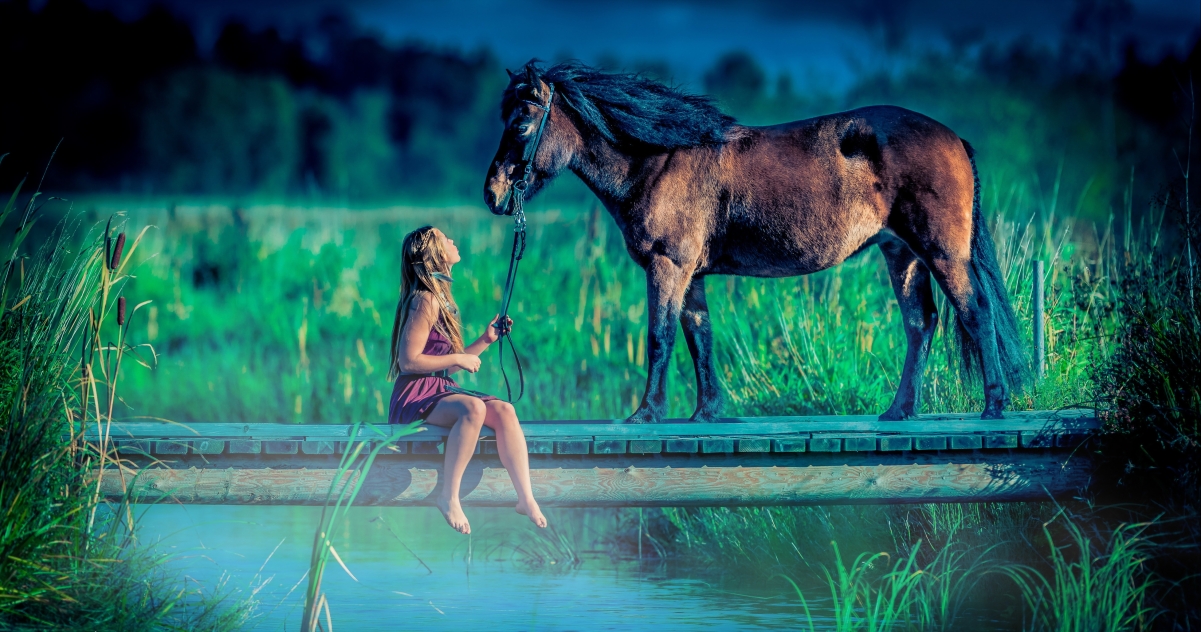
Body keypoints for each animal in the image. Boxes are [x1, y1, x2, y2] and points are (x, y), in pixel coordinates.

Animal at [482, 61, 1028, 422]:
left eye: (522, 122)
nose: (493, 193)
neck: (657, 161)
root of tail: (954, 139)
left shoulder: (668, 266)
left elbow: (660, 338)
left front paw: (646, 413)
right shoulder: (690, 274)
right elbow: (699, 337)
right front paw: (707, 413)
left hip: (941, 252)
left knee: (976, 311)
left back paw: (994, 405)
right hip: (903, 254)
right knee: (921, 324)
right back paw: (899, 411)